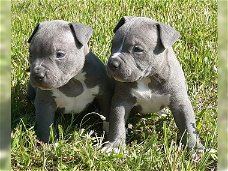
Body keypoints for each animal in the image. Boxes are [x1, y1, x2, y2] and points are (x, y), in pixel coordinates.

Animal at [104, 16, 204, 152]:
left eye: (137, 49)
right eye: (113, 44)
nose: (112, 63)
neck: (149, 78)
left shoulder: (180, 103)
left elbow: (188, 125)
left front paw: (194, 148)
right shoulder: (121, 101)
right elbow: (117, 123)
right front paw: (114, 146)